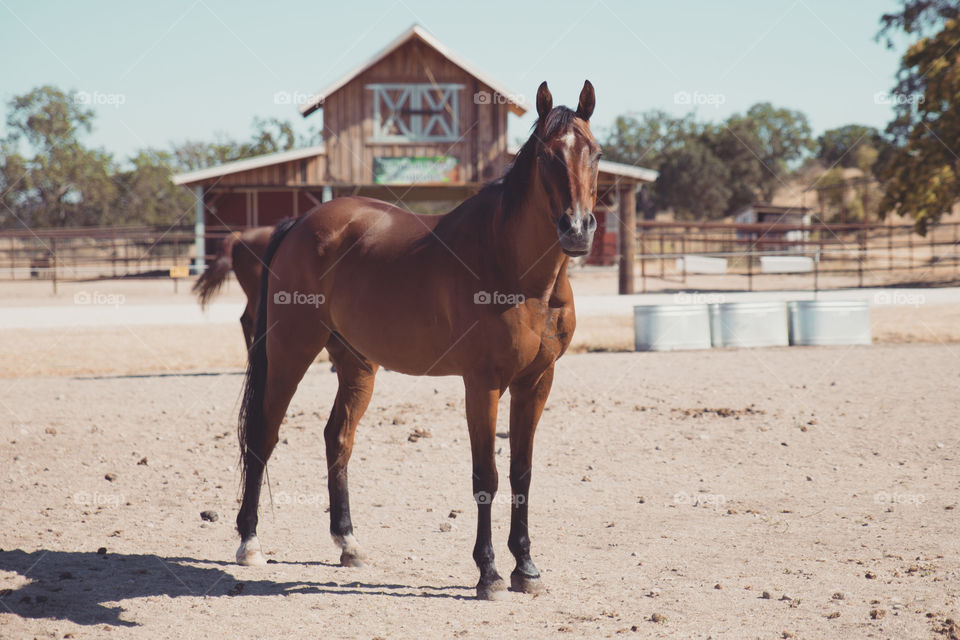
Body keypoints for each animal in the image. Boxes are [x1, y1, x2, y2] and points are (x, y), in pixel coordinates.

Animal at [235, 81, 600, 600]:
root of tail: (299, 224)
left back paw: (348, 543)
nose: (577, 230)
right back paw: (249, 543)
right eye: (547, 156)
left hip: (357, 364)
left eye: (596, 153)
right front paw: (489, 573)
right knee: (264, 435)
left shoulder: (536, 381)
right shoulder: (483, 383)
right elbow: (486, 475)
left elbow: (521, 473)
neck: (517, 271)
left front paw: (526, 568)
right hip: (291, 350)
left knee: (338, 437)